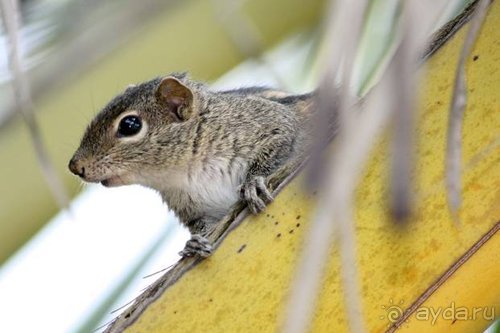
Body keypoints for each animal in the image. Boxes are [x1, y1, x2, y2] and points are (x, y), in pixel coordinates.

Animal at [67, 73, 316, 256]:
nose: (75, 166)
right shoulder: (194, 209)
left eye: (130, 125)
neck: (187, 170)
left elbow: (282, 137)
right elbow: (204, 226)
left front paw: (253, 183)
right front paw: (194, 243)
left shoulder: (270, 121)